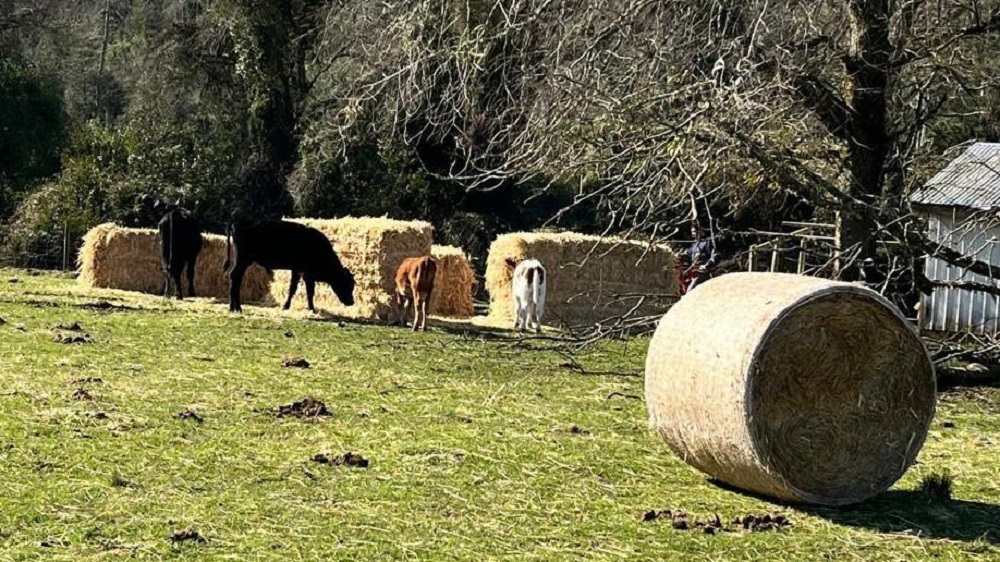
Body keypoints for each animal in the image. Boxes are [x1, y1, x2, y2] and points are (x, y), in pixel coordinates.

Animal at [223, 218, 356, 312]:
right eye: (347, 284)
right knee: (235, 277)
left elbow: (294, 289)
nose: (351, 302)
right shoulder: (307, 274)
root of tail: (238, 221)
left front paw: (287, 306)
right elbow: (308, 291)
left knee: (235, 277)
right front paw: (311, 309)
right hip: (243, 260)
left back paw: (233, 307)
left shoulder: (297, 270)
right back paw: (237, 307)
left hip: (242, 261)